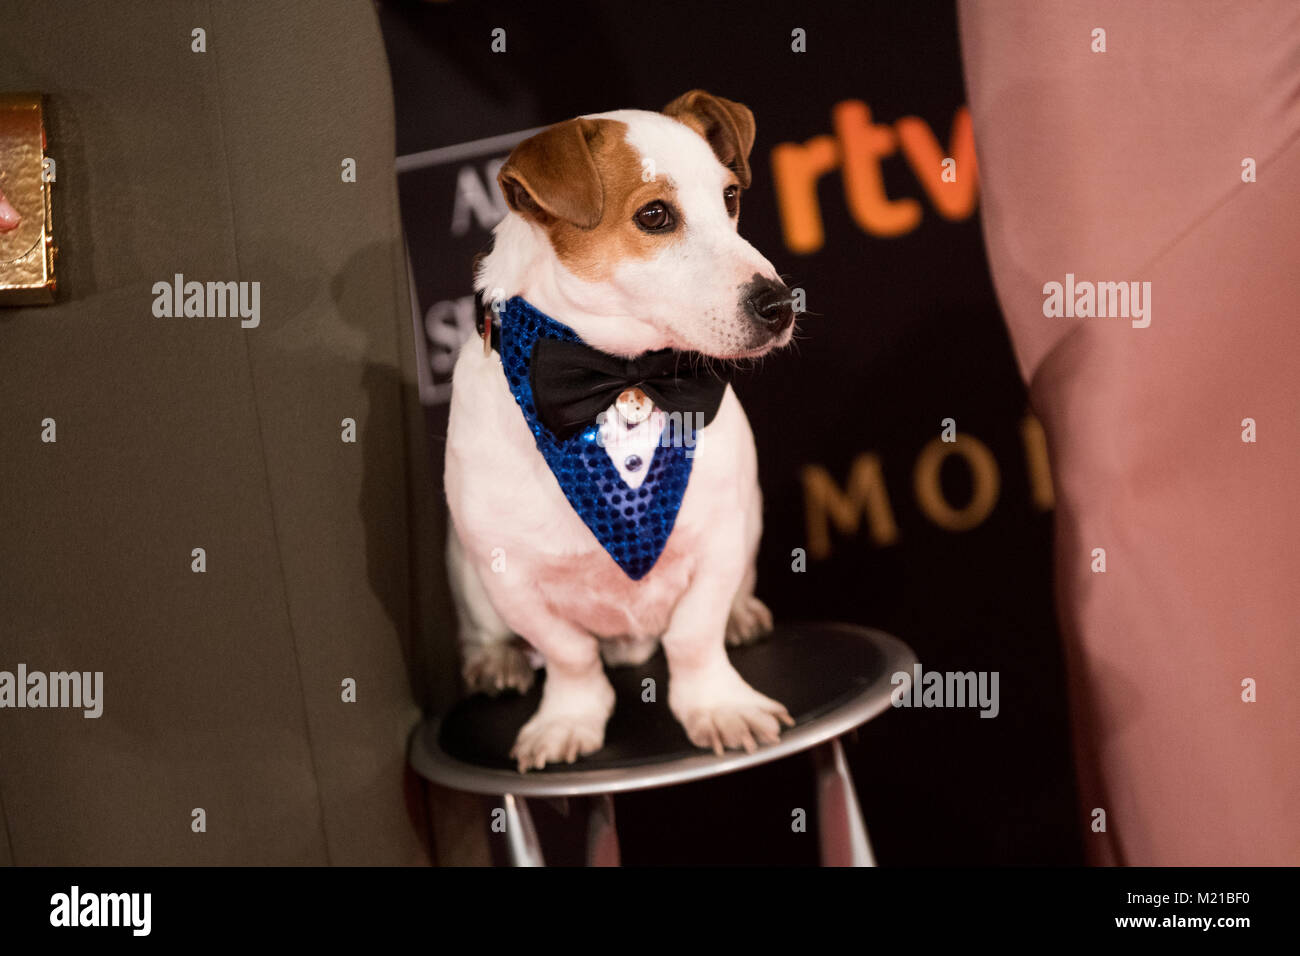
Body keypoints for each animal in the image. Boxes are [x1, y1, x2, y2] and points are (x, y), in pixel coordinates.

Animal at [441, 89, 795, 775]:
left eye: (730, 198)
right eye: (654, 215)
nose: (781, 305)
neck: (623, 379)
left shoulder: (721, 537)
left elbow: (693, 636)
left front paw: (717, 704)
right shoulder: (511, 577)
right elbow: (568, 656)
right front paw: (568, 717)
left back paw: (742, 614)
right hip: (464, 569)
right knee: (487, 633)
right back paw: (494, 660)